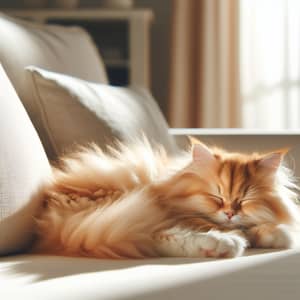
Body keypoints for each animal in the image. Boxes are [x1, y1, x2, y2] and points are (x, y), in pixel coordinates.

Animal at [32, 138, 300, 258]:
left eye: (243, 201)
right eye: (216, 196)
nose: (230, 213)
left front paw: (275, 234)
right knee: (158, 235)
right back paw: (223, 244)